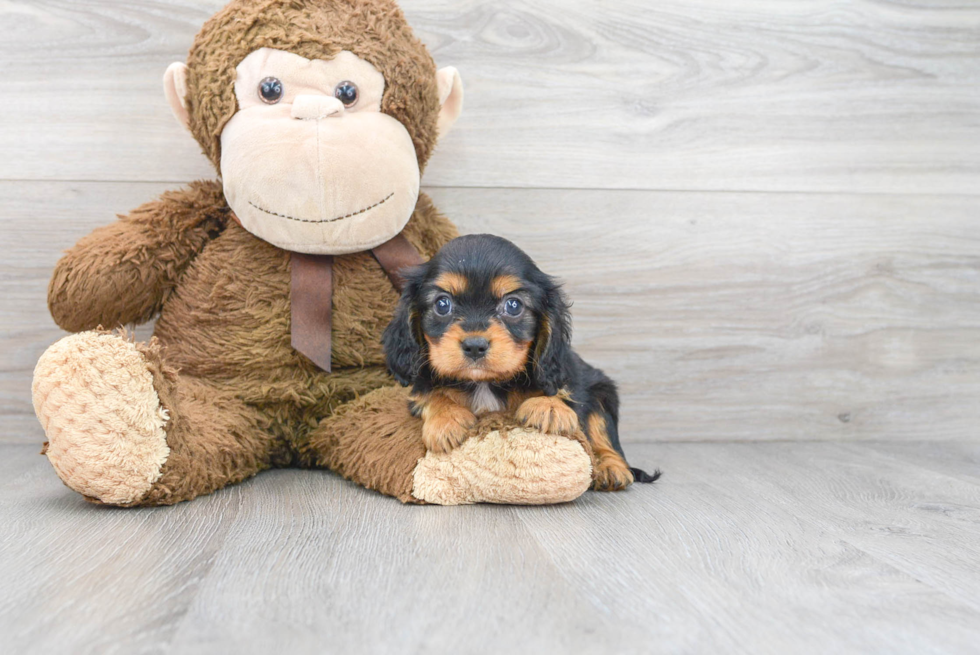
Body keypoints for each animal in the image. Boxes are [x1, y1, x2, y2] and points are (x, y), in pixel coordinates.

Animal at [382, 236, 660, 492]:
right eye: (442, 304)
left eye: (513, 305)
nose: (474, 345)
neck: (484, 384)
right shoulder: (420, 387)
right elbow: (431, 395)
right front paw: (446, 419)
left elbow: (561, 393)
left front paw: (549, 407)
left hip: (602, 391)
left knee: (603, 434)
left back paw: (611, 468)